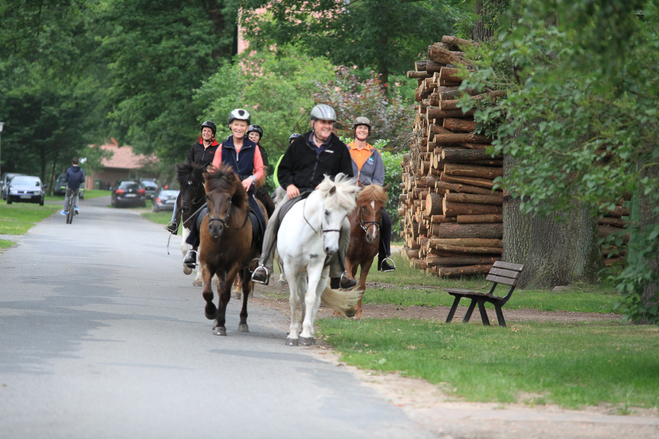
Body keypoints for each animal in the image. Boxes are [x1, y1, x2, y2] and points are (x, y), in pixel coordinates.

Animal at [199, 163, 268, 336]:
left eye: (228, 198)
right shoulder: (207, 263)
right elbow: (208, 292)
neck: (222, 237)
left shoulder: (234, 265)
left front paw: (220, 324)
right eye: (208, 197)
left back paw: (243, 322)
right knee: (219, 287)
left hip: (249, 266)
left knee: (245, 288)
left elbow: (225, 294)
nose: (215, 227)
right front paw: (212, 313)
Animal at [278, 174, 364, 346]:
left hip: (323, 273)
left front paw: (305, 335)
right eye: (326, 212)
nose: (331, 249)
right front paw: (293, 335)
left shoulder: (316, 266)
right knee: (301, 296)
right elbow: (294, 300)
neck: (304, 234)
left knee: (315, 299)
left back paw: (308, 330)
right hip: (299, 273)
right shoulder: (290, 268)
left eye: (344, 215)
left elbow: (311, 298)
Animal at [342, 184, 390, 318]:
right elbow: (349, 281)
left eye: (381, 208)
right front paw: (349, 309)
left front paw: (357, 313)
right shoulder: (346, 258)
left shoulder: (367, 261)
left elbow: (361, 286)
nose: (372, 236)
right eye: (364, 207)